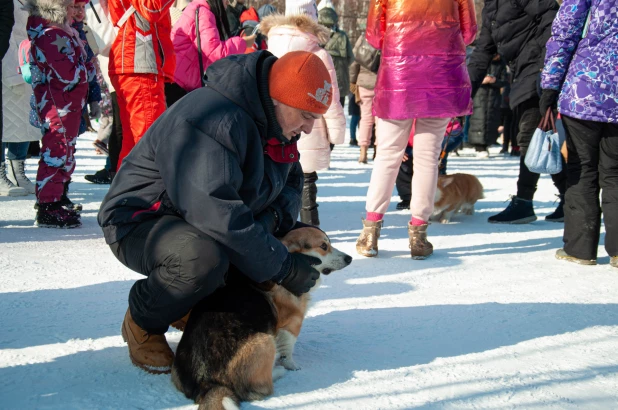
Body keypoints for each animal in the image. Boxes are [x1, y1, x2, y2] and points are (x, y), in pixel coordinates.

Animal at [171, 227, 348, 410]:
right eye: (323, 246)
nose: (349, 258)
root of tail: (207, 383)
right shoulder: (292, 323)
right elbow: (288, 351)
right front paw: (292, 366)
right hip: (265, 340)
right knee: (260, 388)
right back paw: (277, 371)